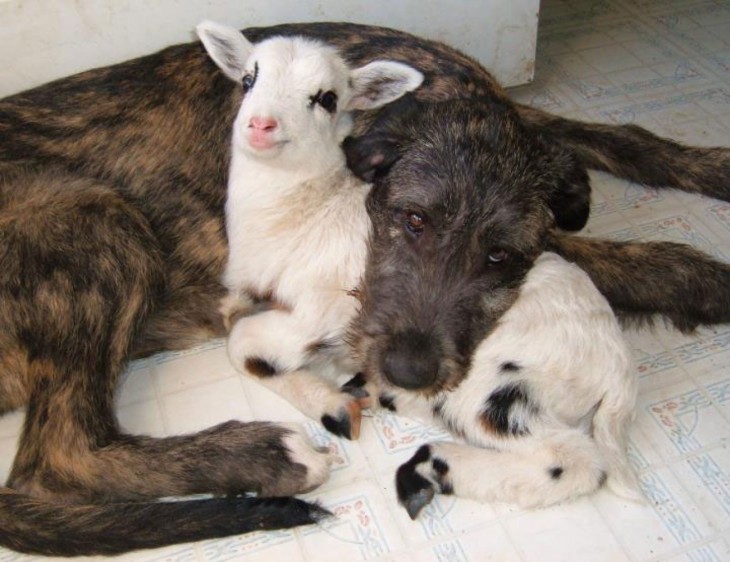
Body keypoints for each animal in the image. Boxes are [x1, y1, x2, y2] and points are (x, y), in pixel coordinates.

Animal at [196, 20, 424, 438]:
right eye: (248, 79)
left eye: (327, 99)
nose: (261, 124)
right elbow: (235, 318)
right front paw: (335, 401)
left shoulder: (324, 308)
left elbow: (241, 344)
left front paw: (332, 405)